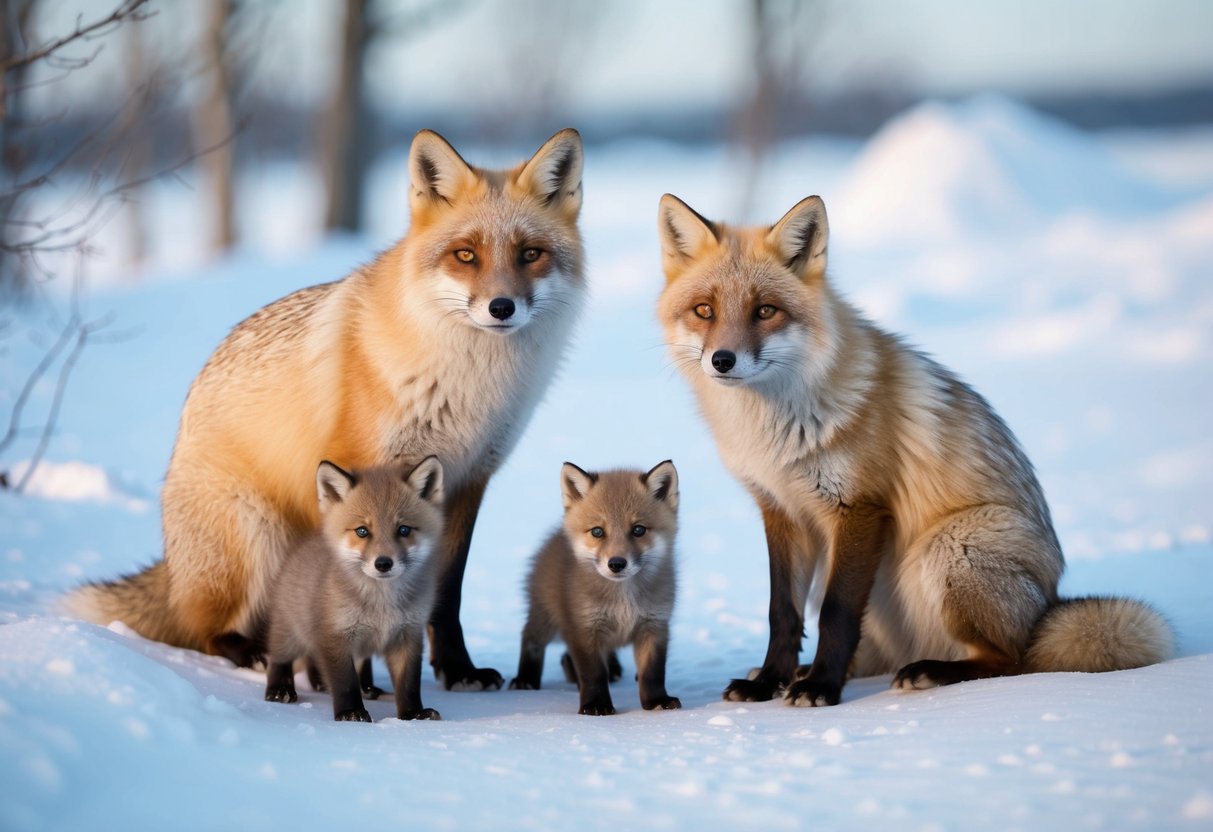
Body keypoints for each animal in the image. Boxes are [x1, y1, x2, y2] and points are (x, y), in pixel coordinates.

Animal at [64, 129, 587, 691]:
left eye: (530, 254)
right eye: (465, 254)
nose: (501, 308)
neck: (468, 387)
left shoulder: (468, 479)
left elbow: (447, 594)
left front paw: (457, 670)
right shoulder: (357, 472)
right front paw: (358, 681)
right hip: (255, 537)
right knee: (203, 631)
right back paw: (257, 654)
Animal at [263, 457, 444, 722]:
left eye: (403, 530)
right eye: (362, 531)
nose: (383, 563)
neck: (382, 606)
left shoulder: (407, 635)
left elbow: (408, 684)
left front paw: (412, 714)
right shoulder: (335, 635)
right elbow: (345, 682)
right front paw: (350, 712)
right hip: (290, 633)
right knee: (279, 658)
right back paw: (280, 689)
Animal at [509, 461, 682, 716]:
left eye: (638, 530)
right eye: (598, 531)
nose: (617, 563)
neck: (623, 600)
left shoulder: (654, 625)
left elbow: (653, 673)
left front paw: (656, 700)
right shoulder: (584, 628)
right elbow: (593, 674)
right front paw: (595, 705)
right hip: (546, 619)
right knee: (530, 638)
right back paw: (525, 679)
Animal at [656, 192, 1174, 707]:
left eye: (765, 311)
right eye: (704, 310)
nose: (722, 360)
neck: (776, 432)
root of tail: (1046, 609)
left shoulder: (860, 507)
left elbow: (836, 613)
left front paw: (822, 687)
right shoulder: (782, 510)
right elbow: (782, 613)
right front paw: (769, 681)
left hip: (948, 547)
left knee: (1010, 659)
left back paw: (929, 672)